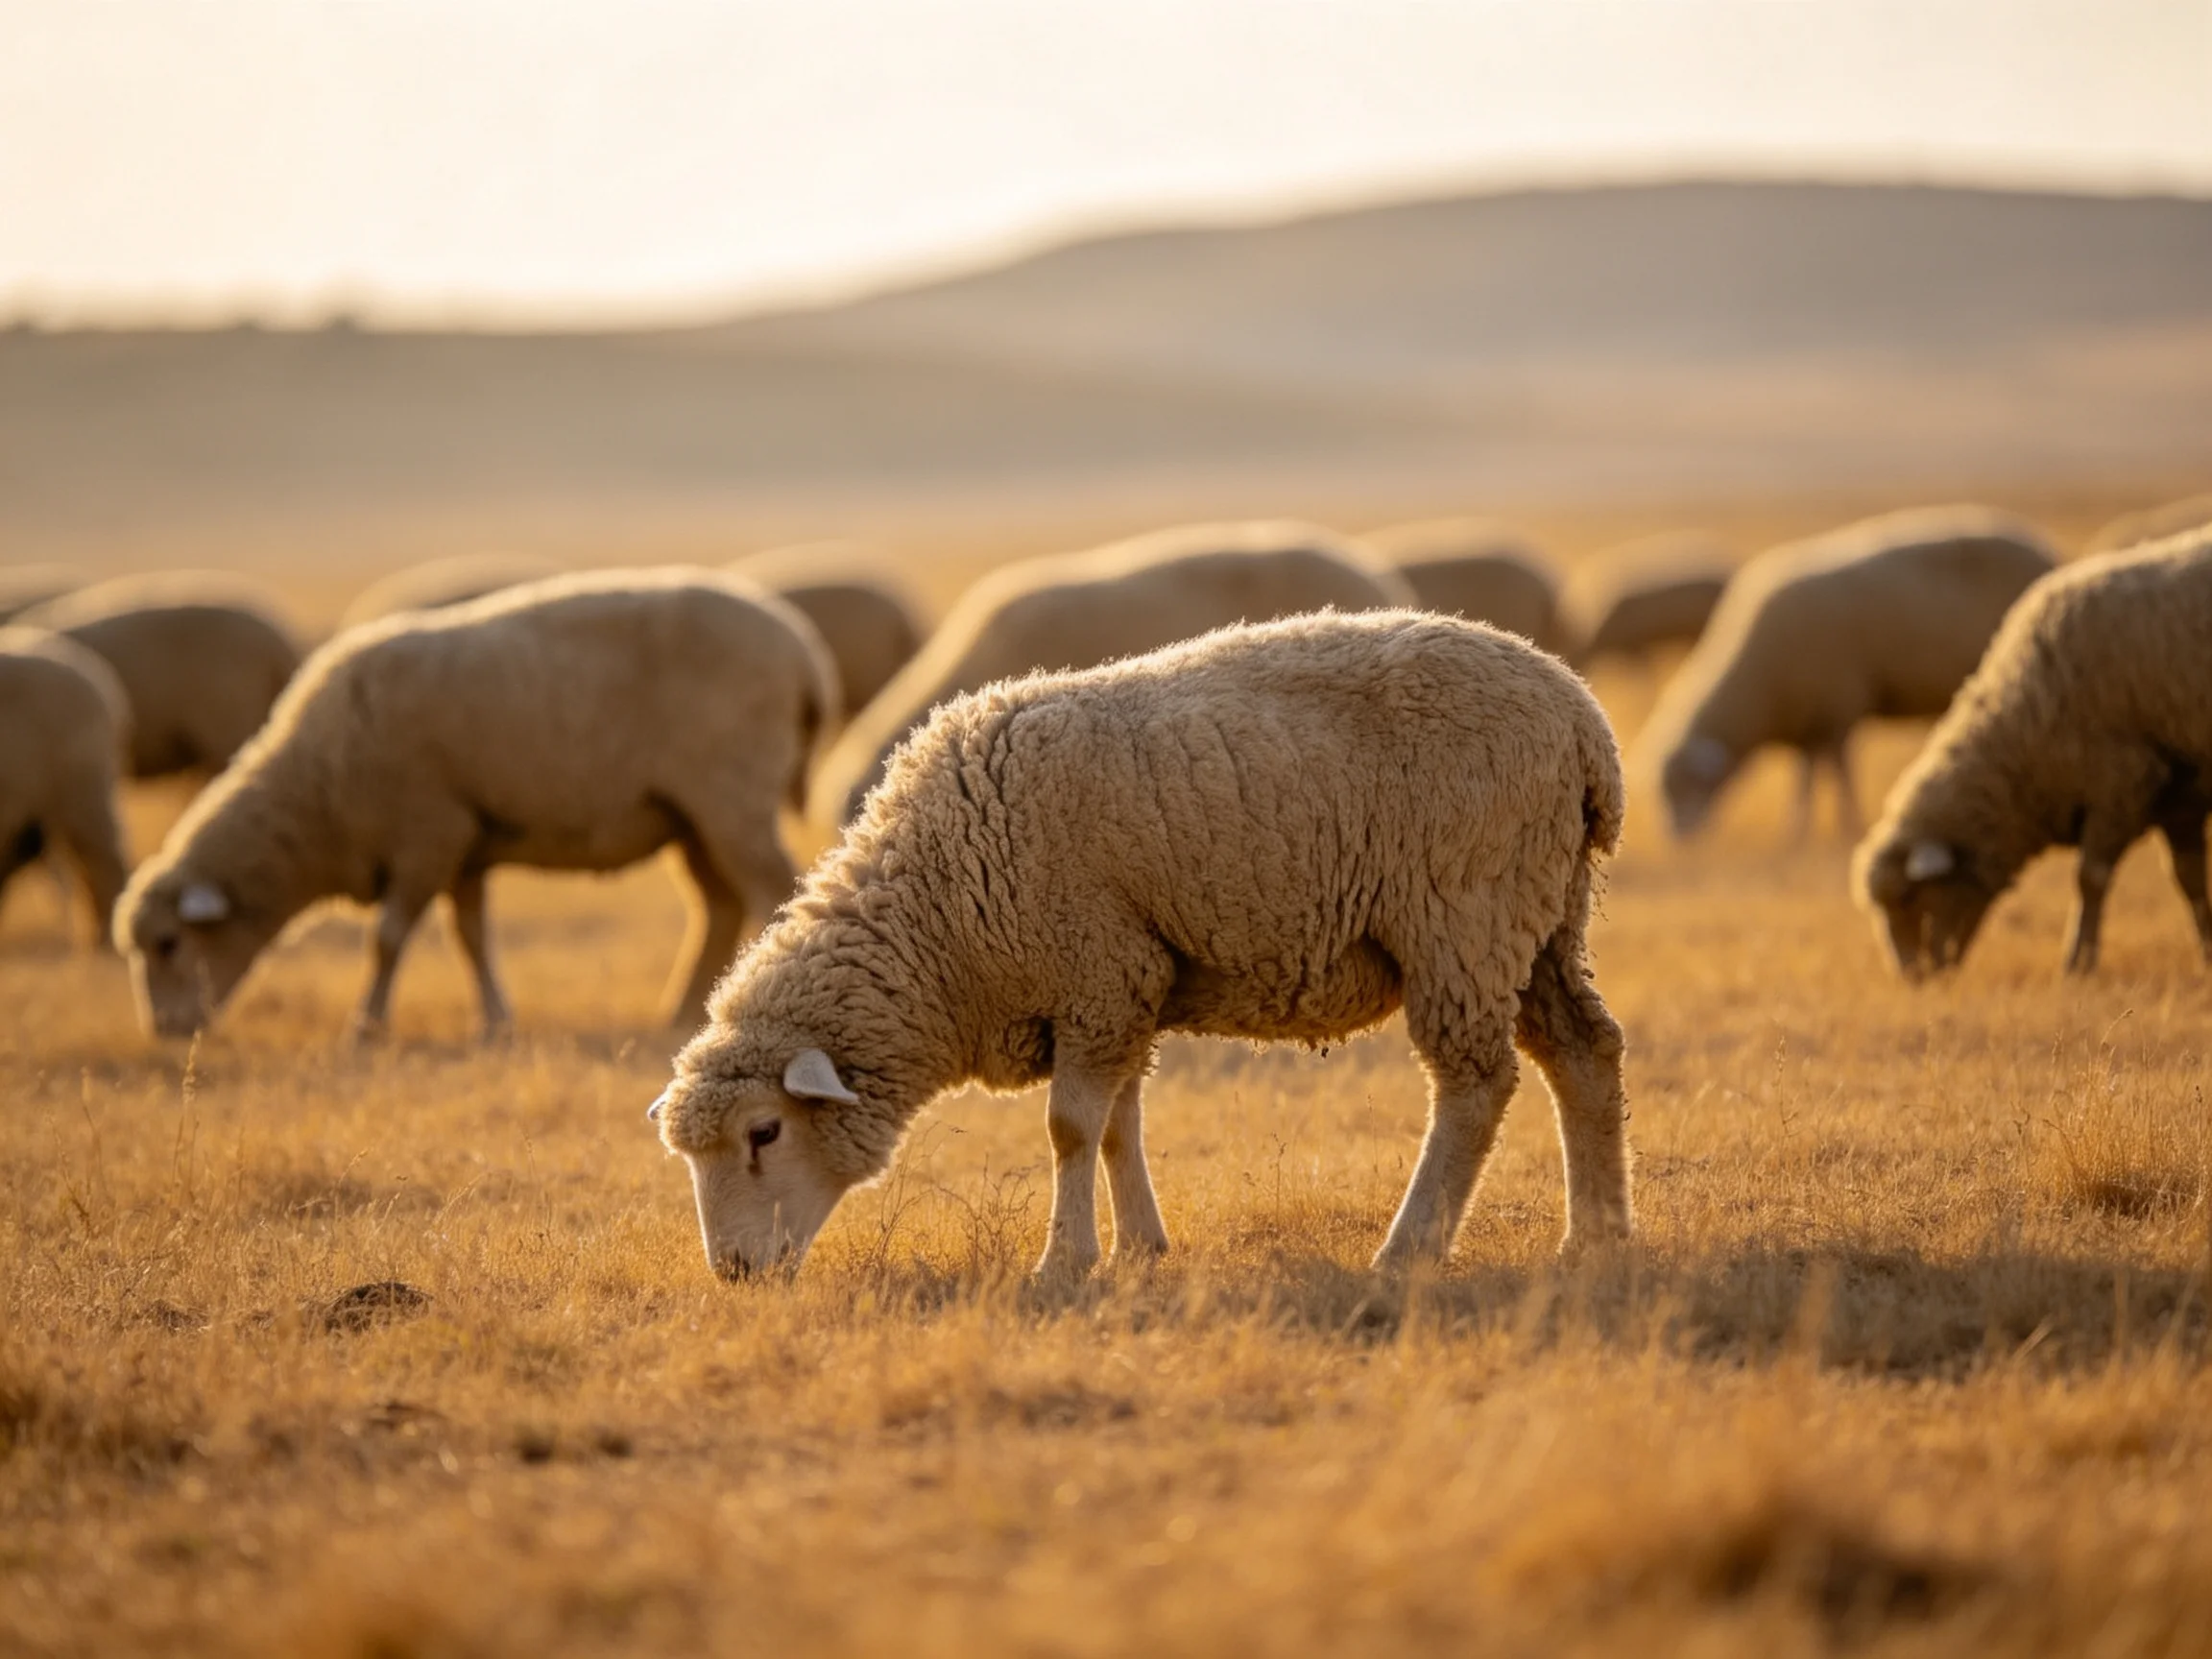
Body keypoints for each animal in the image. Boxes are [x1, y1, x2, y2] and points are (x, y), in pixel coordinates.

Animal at [115, 569, 835, 1041]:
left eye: (170, 943)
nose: (165, 1033)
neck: (317, 795)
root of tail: (805, 653)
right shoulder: (465, 842)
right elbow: (470, 936)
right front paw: (494, 1022)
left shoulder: (427, 832)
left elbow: (387, 936)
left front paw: (366, 1027)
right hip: (688, 814)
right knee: (720, 906)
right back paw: (680, 1013)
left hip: (730, 792)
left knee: (770, 889)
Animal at [653, 608, 1632, 1286]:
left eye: (764, 1131)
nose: (732, 1275)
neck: (941, 915)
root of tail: (1583, 720)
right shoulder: (1118, 989)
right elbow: (1120, 1125)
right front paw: (1140, 1248)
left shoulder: (1099, 970)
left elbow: (1069, 1128)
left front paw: (1065, 1261)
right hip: (1543, 914)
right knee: (1584, 1052)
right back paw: (1596, 1236)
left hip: (1465, 910)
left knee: (1475, 1085)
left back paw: (1409, 1249)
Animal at [1639, 507, 2058, 840]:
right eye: (1664, 791)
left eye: (1687, 787)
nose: (1679, 840)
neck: (1759, 683)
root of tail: (2049, 554)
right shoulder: (1807, 723)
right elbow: (1805, 780)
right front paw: (1798, 830)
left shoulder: (1838, 708)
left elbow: (1839, 773)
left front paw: (1847, 824)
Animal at [1853, 529, 2212, 979]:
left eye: (1908, 897)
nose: (1914, 979)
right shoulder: (2181, 797)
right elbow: (2190, 879)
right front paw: (2208, 951)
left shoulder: (2122, 782)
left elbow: (2091, 878)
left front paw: (2078, 963)